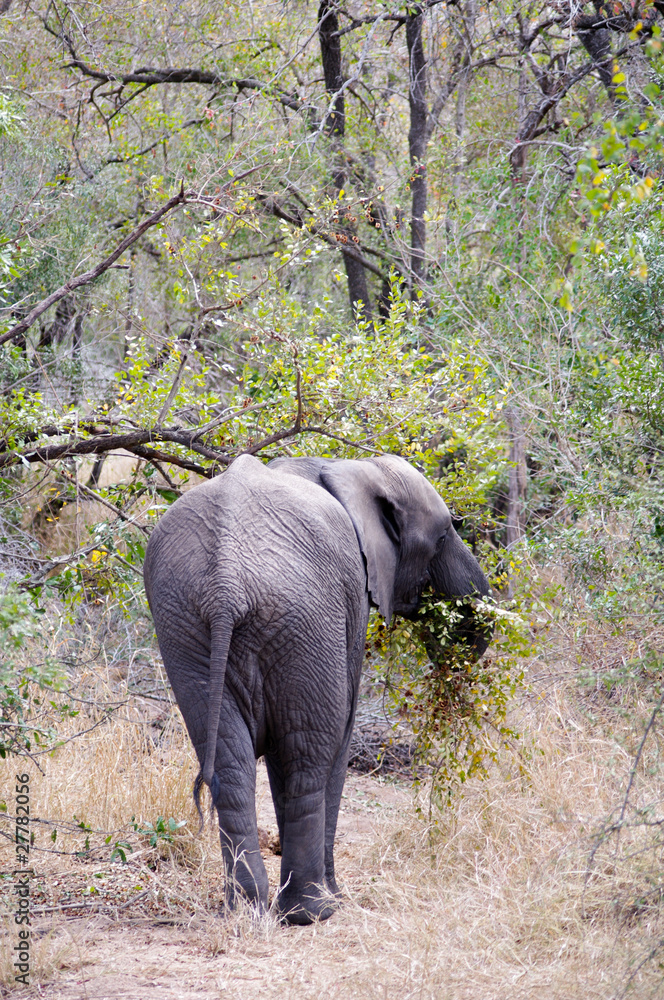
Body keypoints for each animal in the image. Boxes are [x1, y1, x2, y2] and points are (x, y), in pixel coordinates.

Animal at [143, 452, 490, 924]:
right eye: (441, 537)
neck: (346, 467)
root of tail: (225, 584)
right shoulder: (351, 601)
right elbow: (339, 736)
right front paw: (337, 896)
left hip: (185, 625)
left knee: (233, 765)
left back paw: (246, 910)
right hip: (303, 618)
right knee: (309, 752)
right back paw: (313, 911)